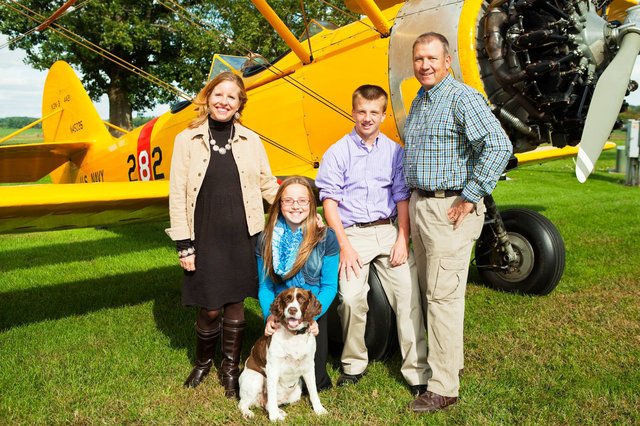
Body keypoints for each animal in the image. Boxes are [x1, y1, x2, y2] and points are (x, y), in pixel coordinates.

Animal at [236, 286, 328, 420]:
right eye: (287, 299)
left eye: (302, 299)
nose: (292, 310)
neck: (294, 335)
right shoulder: (272, 368)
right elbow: (272, 395)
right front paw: (274, 417)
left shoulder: (309, 366)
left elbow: (313, 391)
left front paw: (319, 410)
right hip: (256, 379)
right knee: (243, 403)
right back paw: (249, 413)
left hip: (296, 391)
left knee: (267, 404)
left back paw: (280, 411)